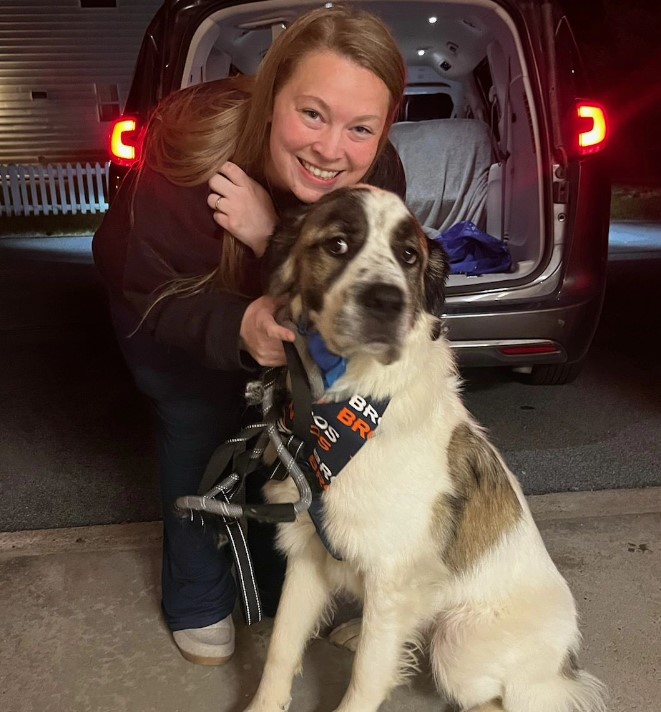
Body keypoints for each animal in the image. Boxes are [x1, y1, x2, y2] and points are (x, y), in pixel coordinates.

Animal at [245, 186, 604, 708]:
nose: (386, 301)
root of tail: (561, 669)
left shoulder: (391, 575)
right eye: (337, 245)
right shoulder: (307, 551)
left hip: (459, 642)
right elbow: (281, 648)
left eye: (408, 255)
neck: (345, 418)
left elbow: (366, 676)